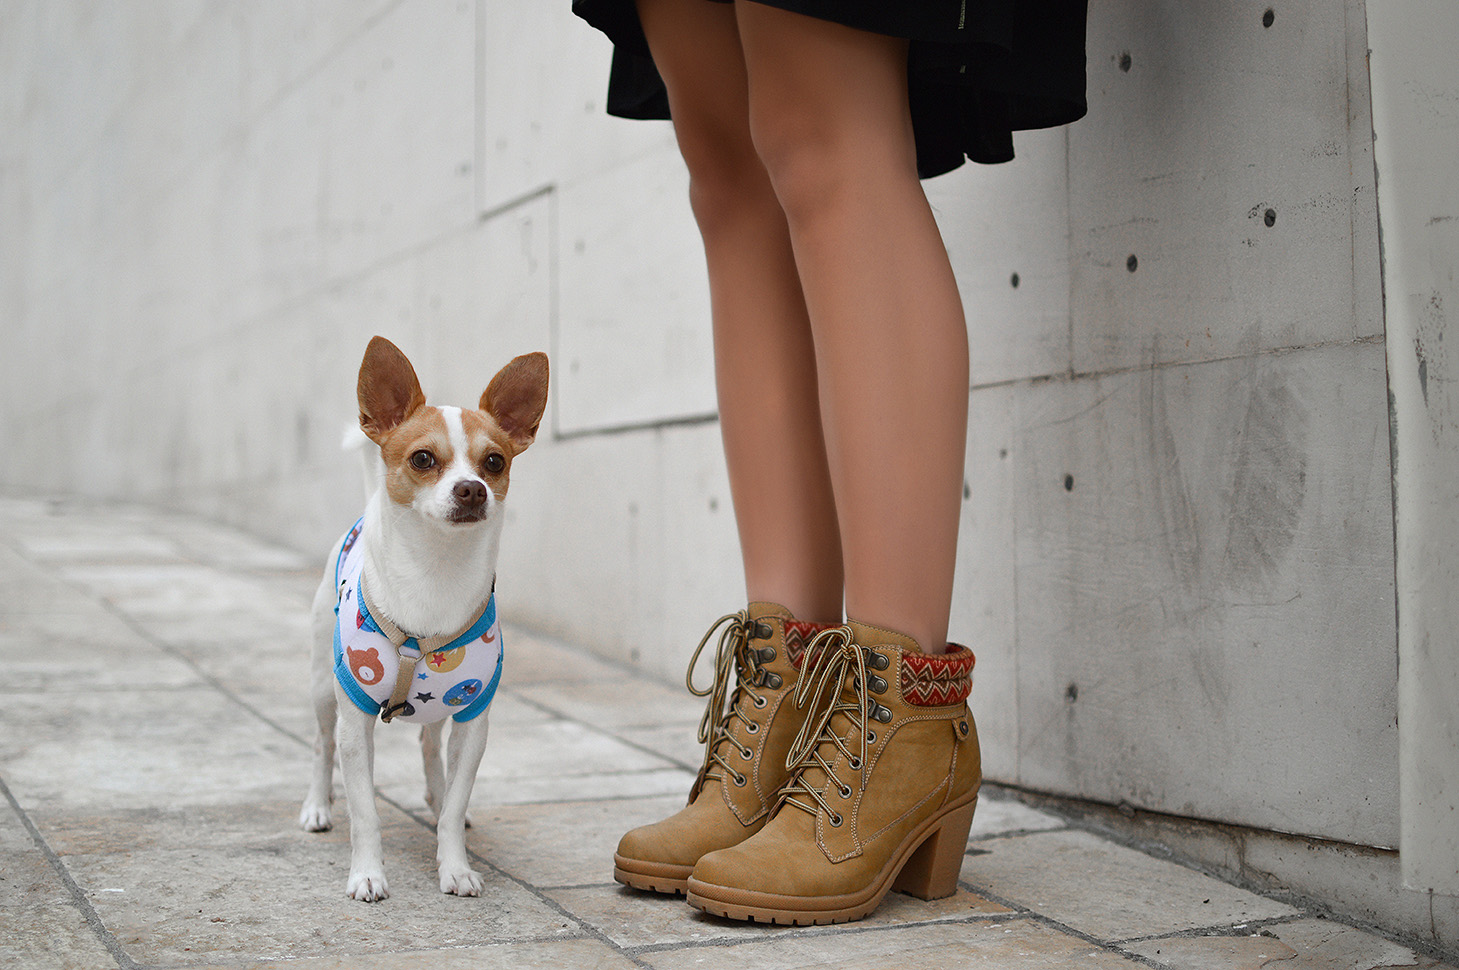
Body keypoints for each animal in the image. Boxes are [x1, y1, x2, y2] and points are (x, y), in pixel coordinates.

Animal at [300, 335, 548, 898]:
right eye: (422, 458)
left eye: (494, 461)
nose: (472, 488)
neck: (437, 572)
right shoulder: (354, 723)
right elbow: (365, 811)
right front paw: (367, 874)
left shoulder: (474, 720)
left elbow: (456, 803)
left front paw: (454, 865)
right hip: (324, 689)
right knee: (321, 745)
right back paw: (318, 807)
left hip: (442, 706)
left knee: (431, 745)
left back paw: (434, 794)